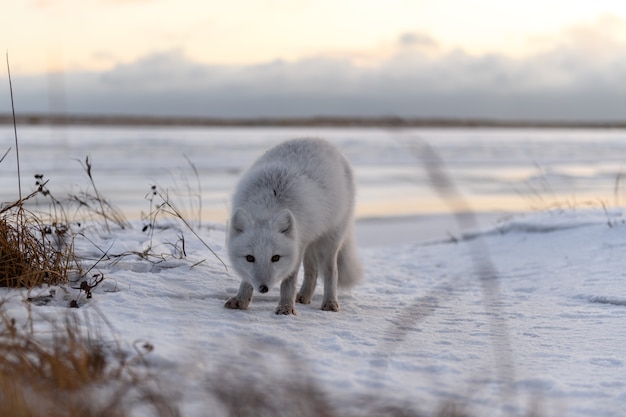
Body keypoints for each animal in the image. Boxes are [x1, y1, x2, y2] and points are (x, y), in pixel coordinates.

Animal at [224, 138, 360, 314]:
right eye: (250, 258)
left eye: (275, 257)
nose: (263, 289)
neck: (267, 207)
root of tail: (322, 141)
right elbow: (247, 279)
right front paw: (241, 299)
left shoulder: (297, 247)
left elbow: (289, 280)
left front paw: (286, 307)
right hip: (310, 241)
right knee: (312, 271)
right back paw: (304, 296)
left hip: (328, 242)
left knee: (331, 271)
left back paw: (330, 302)